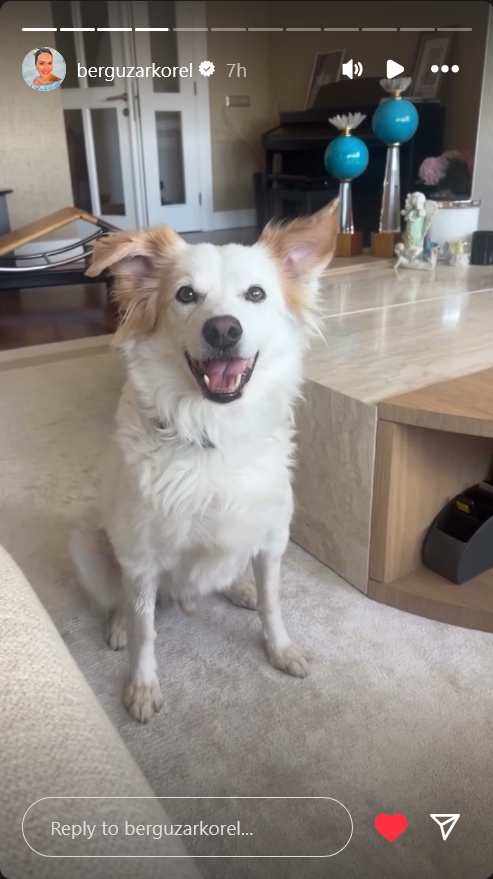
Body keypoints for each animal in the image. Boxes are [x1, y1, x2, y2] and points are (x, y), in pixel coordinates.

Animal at [69, 199, 339, 723]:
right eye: (186, 294)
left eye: (256, 294)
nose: (224, 329)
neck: (213, 430)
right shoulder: (140, 558)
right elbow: (145, 629)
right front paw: (142, 685)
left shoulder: (272, 538)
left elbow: (273, 602)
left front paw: (280, 649)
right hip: (89, 544)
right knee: (120, 602)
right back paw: (117, 625)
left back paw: (239, 590)